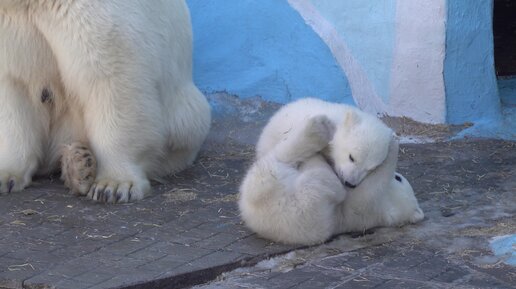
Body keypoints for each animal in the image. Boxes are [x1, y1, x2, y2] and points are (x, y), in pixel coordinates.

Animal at [0, 0, 211, 202]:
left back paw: (78, 165)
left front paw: (114, 185)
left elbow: (111, 78)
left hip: (184, 118)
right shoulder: (11, 25)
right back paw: (78, 163)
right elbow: (13, 89)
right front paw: (7, 175)